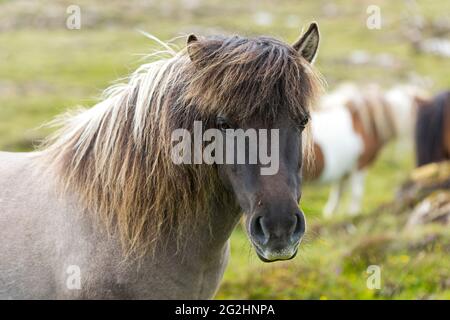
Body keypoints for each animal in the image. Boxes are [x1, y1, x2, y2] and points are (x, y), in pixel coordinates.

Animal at [306, 82, 428, 218]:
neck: (367, 125)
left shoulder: (345, 171)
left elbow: (338, 193)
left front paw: (329, 215)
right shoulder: (360, 166)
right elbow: (356, 193)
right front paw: (353, 214)